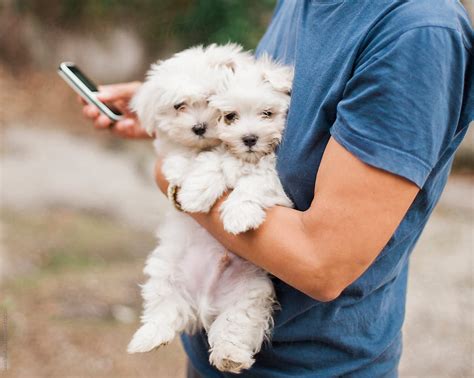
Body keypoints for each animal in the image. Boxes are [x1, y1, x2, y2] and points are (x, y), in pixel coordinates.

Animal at [129, 45, 292, 374]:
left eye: (209, 100)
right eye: (179, 106)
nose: (199, 127)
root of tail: (202, 303)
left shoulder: (269, 173)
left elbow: (254, 182)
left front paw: (238, 214)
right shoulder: (187, 150)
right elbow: (198, 161)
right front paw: (192, 188)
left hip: (248, 294)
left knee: (234, 325)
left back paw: (230, 355)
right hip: (165, 273)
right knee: (164, 309)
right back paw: (148, 337)